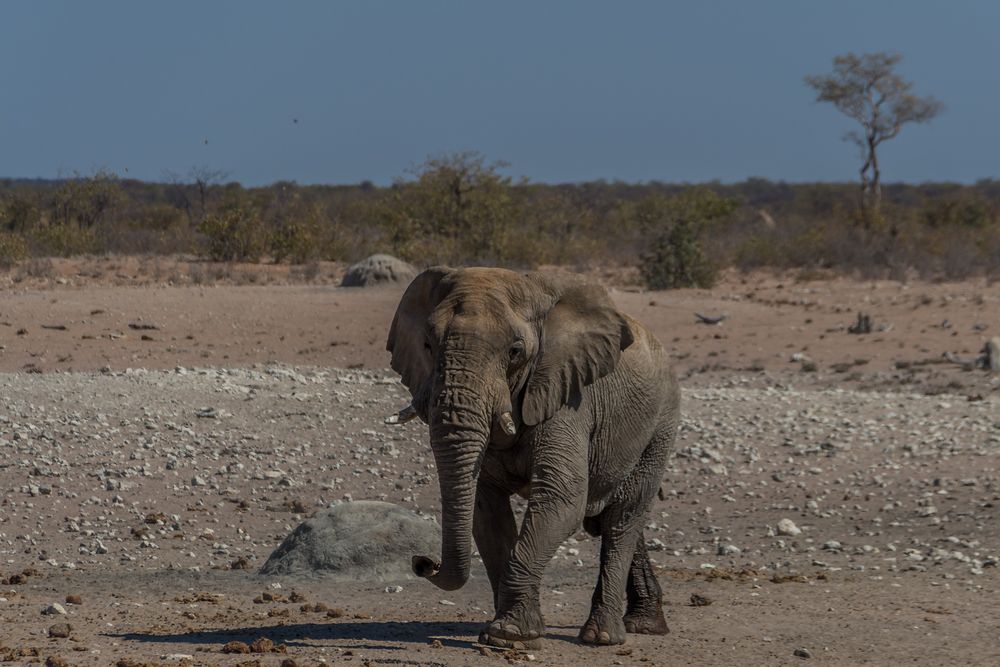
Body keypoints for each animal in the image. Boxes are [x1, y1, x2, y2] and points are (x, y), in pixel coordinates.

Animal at [382, 266, 680, 648]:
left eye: (515, 351)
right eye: (428, 345)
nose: (422, 562)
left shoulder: (568, 396)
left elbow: (562, 498)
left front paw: (508, 635)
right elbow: (486, 508)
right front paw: (513, 634)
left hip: (661, 425)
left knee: (623, 517)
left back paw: (602, 637)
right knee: (609, 517)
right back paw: (644, 625)